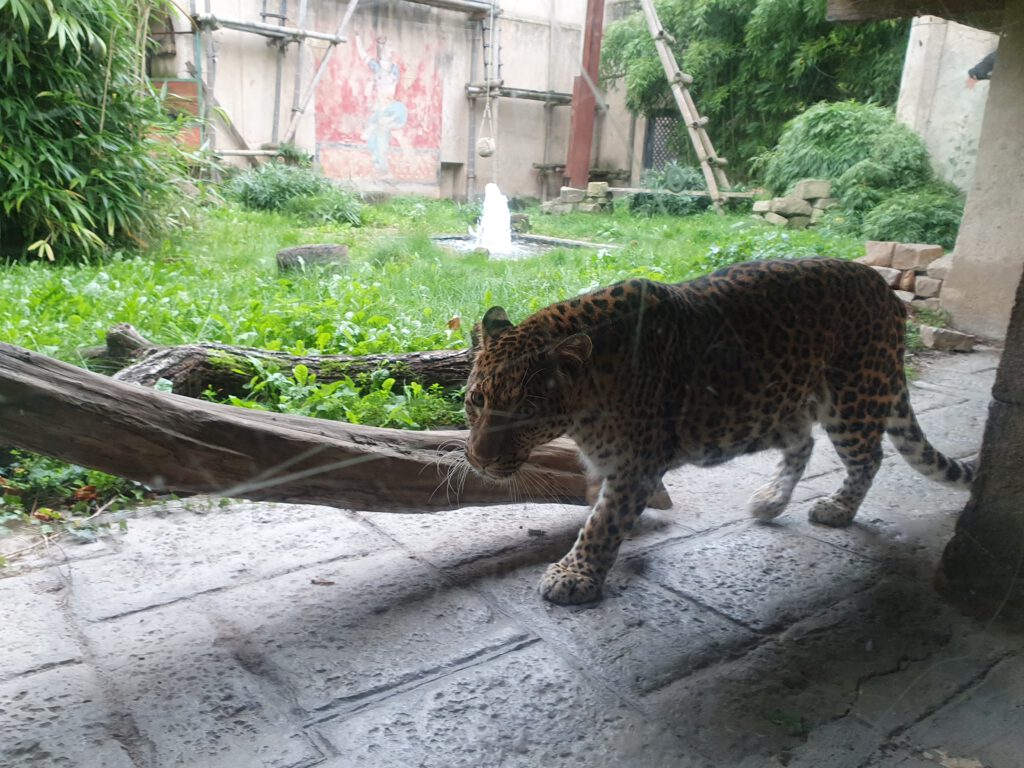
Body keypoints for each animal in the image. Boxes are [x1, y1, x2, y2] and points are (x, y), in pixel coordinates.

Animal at [464, 259, 974, 606]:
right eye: (476, 401)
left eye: (525, 415)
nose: (480, 459)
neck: (592, 388)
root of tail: (887, 292)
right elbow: (596, 504)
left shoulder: (636, 466)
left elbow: (604, 521)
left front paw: (576, 575)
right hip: (770, 401)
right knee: (803, 441)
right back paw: (771, 500)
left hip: (851, 396)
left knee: (869, 456)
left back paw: (838, 508)